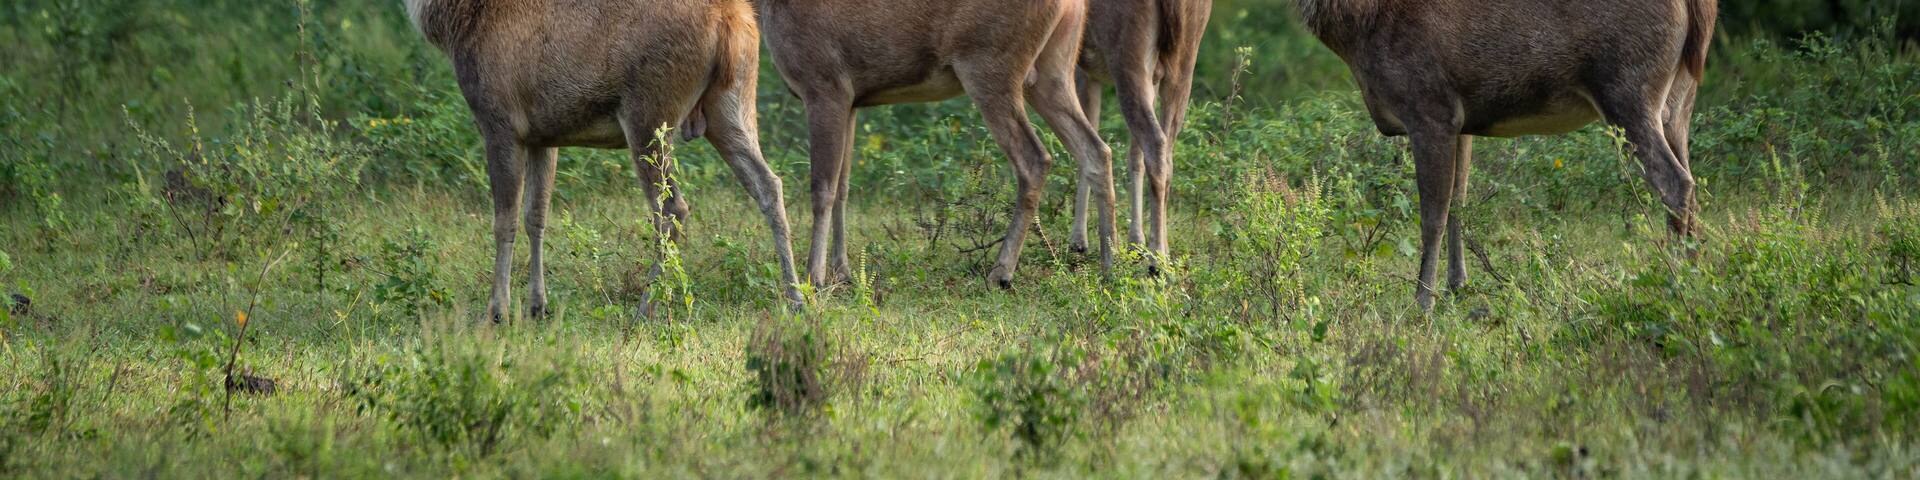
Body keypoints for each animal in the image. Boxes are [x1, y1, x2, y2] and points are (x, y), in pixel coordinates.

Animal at [406, 0, 803, 322]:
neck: (458, 23)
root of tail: (731, 19)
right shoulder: (541, 135)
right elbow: (536, 216)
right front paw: (537, 306)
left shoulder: (499, 121)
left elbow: (505, 221)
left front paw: (497, 311)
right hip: (731, 103)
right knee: (769, 184)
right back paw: (796, 298)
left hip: (649, 112)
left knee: (672, 207)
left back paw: (645, 308)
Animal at [754, 0, 1118, 289]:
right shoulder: (852, 99)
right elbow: (844, 188)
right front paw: (842, 274)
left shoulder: (824, 83)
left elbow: (822, 189)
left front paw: (813, 279)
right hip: (1054, 68)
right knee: (1096, 150)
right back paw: (1111, 263)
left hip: (990, 63)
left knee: (1035, 158)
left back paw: (1000, 273)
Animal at [1068, 0, 1214, 271]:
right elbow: (1134, 155)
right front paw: (1135, 242)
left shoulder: (1082, 67)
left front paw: (1078, 242)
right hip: (1184, 60)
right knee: (1166, 150)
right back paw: (1162, 251)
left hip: (1128, 57)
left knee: (1155, 143)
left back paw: (1157, 261)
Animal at [1294, 0, 1718, 309]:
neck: (1360, 31)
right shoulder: (1462, 120)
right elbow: (1460, 202)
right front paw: (1457, 287)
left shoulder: (1429, 107)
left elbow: (1432, 215)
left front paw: (1422, 302)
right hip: (1679, 99)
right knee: (1692, 181)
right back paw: (1698, 273)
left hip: (1626, 86)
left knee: (1675, 183)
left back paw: (1675, 280)